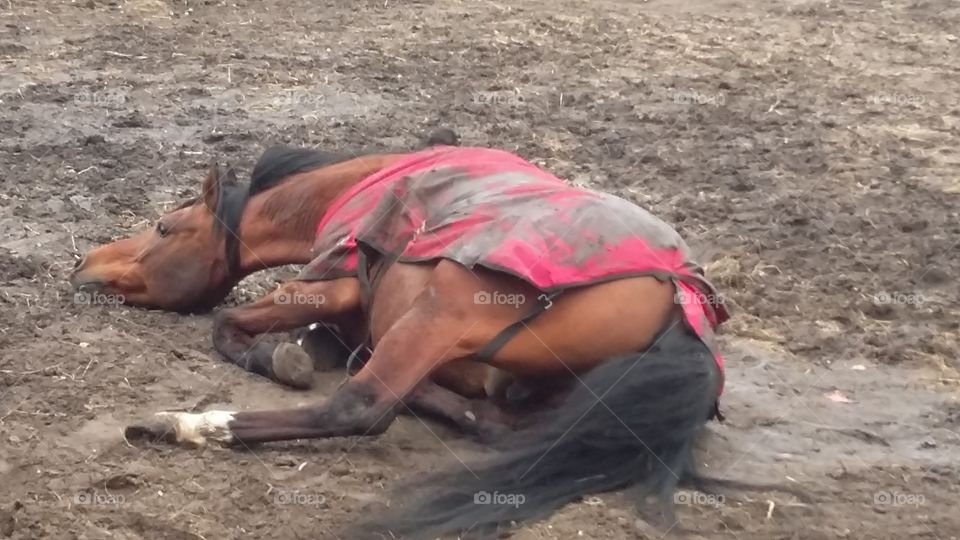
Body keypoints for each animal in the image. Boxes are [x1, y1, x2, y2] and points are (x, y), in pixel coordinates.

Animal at [70, 135, 734, 538]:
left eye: (164, 228)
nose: (83, 263)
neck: (347, 189)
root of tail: (682, 307)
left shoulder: (333, 283)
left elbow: (226, 326)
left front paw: (279, 358)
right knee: (486, 420)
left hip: (439, 312)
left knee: (362, 407)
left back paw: (183, 425)